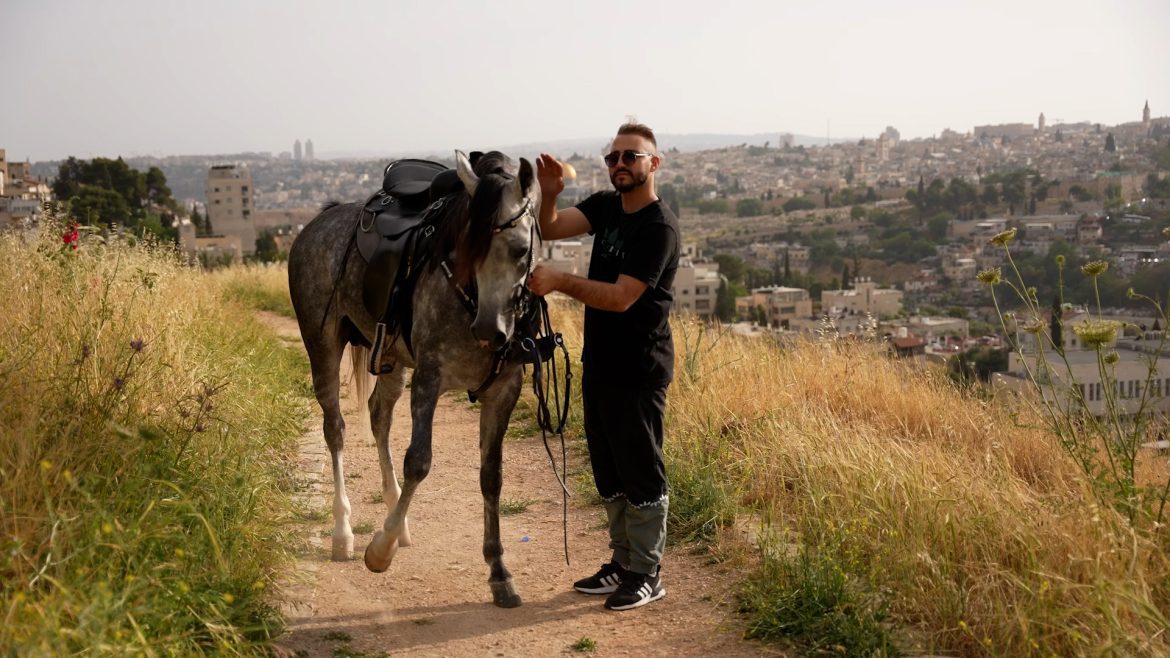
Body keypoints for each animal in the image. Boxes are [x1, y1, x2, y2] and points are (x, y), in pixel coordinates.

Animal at [287, 149, 538, 604]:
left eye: (520, 249)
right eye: (467, 246)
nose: (489, 330)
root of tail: (319, 219)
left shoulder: (504, 390)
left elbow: (491, 477)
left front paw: (499, 571)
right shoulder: (429, 377)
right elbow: (418, 462)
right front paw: (379, 551)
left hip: (390, 357)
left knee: (379, 417)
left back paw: (396, 519)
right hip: (322, 344)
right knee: (336, 428)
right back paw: (344, 531)